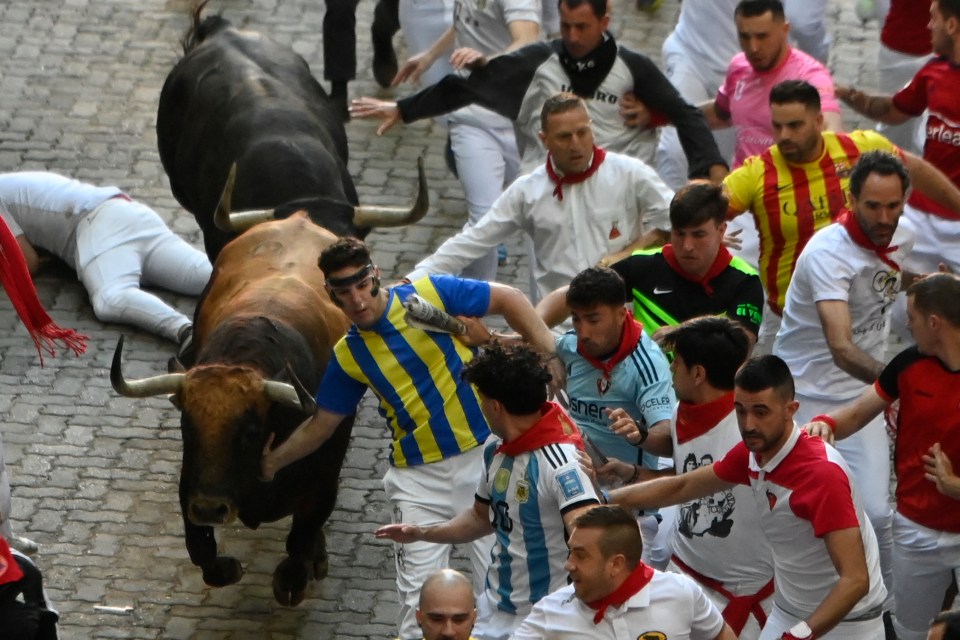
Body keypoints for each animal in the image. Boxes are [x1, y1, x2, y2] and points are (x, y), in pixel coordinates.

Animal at [112, 214, 352, 604]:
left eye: (251, 430)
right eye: (187, 426)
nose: (211, 508)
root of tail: (298, 219)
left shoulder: (323, 483)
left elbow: (298, 547)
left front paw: (302, 568)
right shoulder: (190, 485)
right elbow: (202, 551)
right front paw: (227, 568)